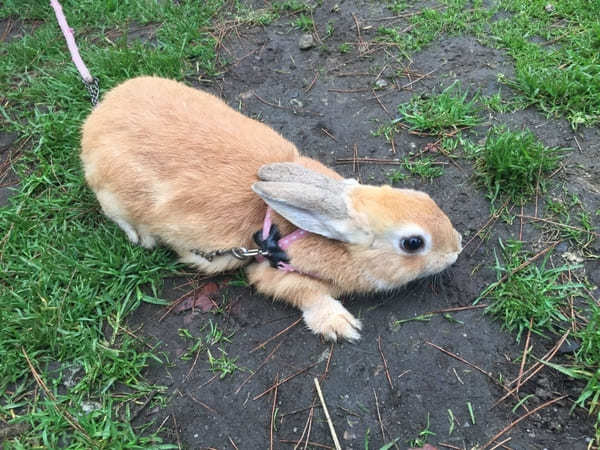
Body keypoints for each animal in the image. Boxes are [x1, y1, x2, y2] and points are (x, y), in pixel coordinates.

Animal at [81, 76, 464, 342]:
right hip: (112, 194)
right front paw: (341, 326)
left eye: (424, 197)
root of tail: (97, 118)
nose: (457, 249)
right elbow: (307, 294)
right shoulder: (273, 273)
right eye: (413, 243)